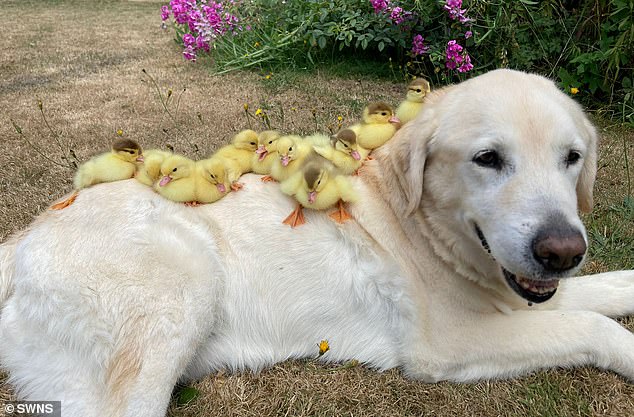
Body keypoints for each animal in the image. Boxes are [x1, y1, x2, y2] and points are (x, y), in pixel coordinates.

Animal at [1, 69, 632, 416]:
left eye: (572, 157)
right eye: (488, 159)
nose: (562, 251)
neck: (421, 225)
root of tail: (22, 239)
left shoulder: (520, 298)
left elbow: (595, 293)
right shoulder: (450, 343)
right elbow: (591, 325)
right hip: (182, 289)